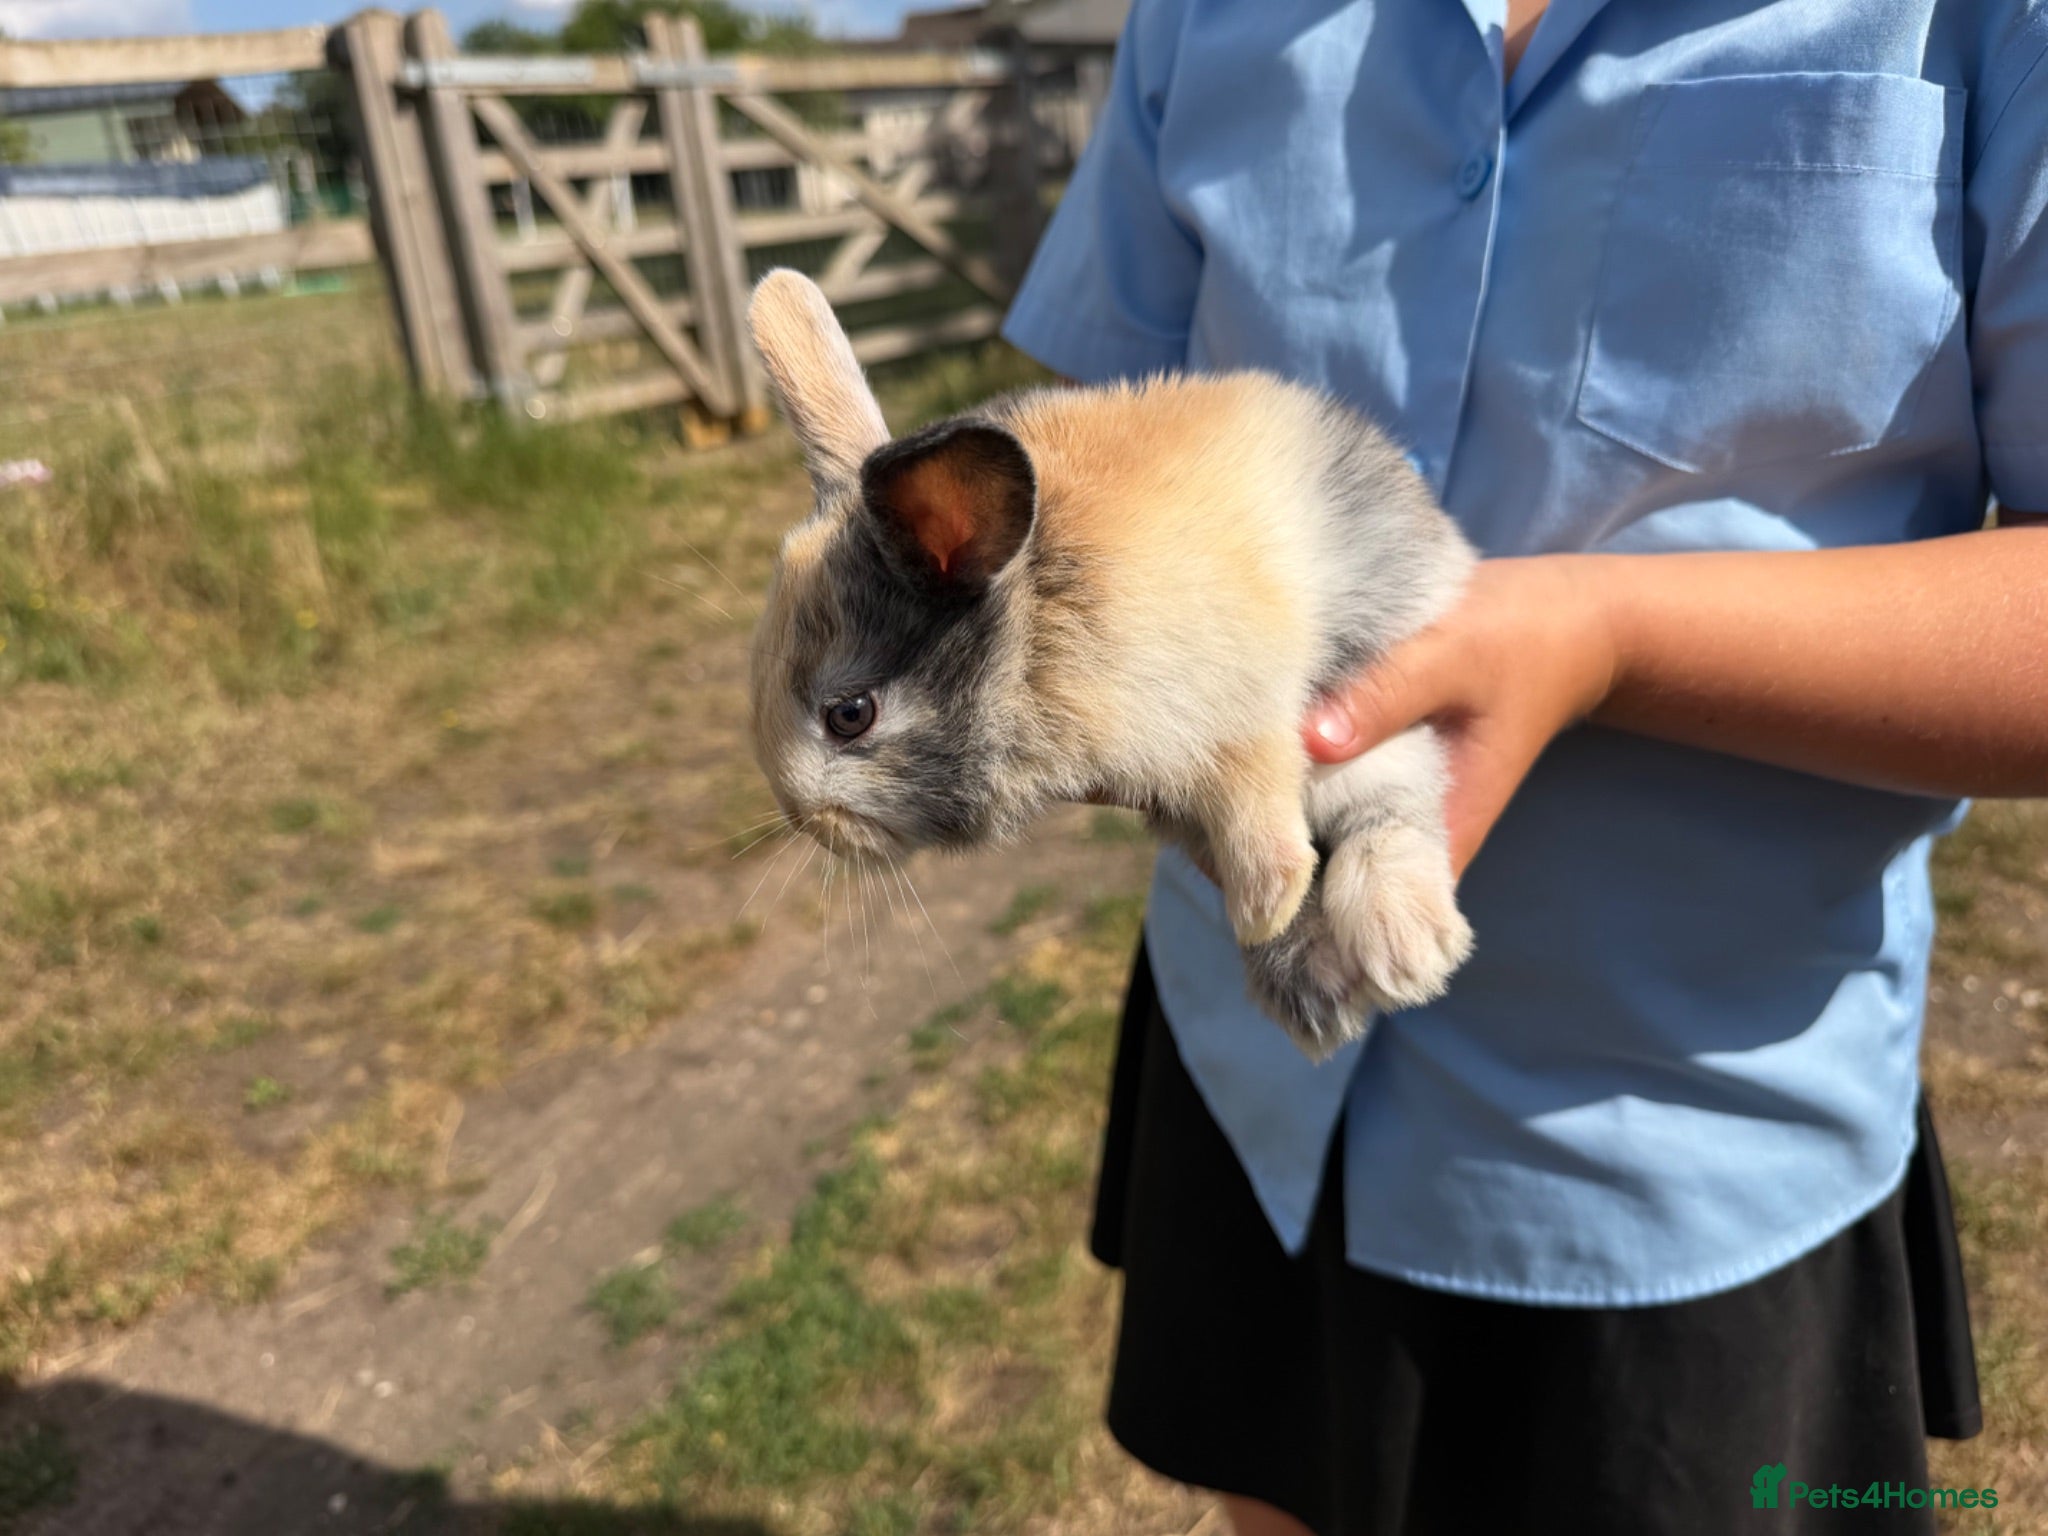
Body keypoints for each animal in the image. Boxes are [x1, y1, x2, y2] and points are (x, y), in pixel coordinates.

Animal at [744, 269, 1476, 1058]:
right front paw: (1274, 921)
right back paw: (1327, 988)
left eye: (850, 716)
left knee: (1392, 806)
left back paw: (1405, 949)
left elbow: (1257, 794)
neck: (1034, 626)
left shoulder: (1248, 700)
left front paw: (1264, 902)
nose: (805, 822)